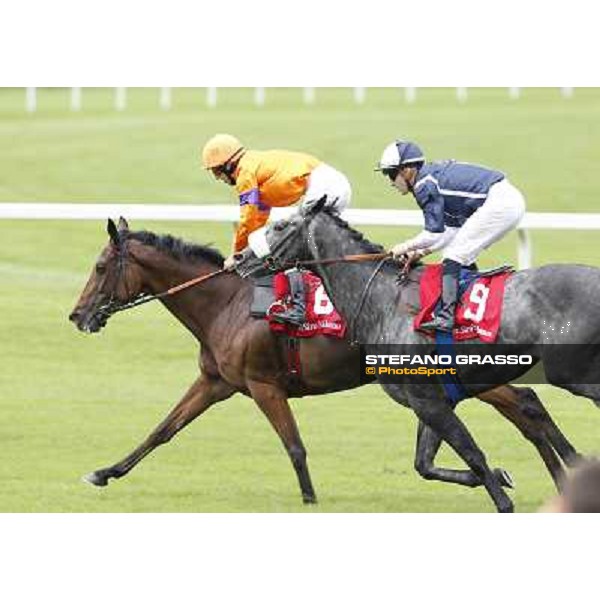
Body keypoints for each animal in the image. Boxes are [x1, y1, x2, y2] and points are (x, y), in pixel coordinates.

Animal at [68, 216, 580, 506]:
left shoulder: (263, 385)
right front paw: (105, 472)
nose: (77, 315)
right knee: (527, 405)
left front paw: (310, 498)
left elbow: (294, 446)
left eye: (99, 267)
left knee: (526, 404)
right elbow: (162, 430)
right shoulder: (216, 382)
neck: (227, 304)